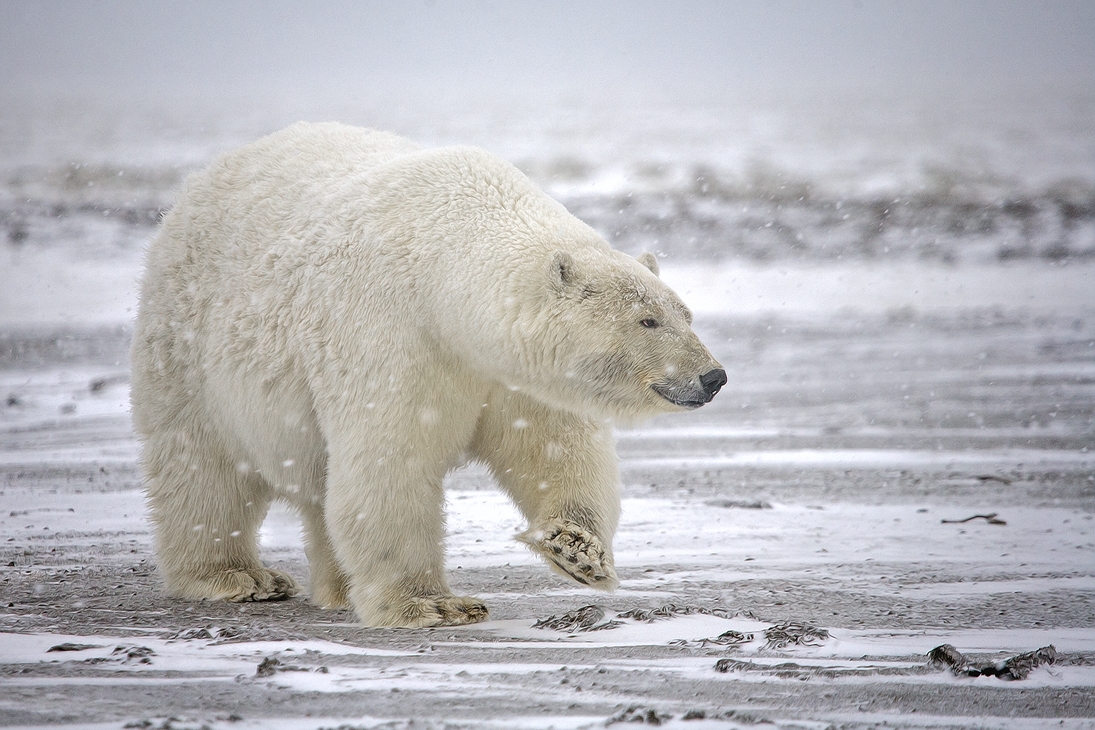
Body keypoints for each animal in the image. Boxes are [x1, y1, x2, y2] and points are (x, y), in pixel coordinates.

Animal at [130, 122, 727, 626]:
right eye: (647, 319)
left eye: (685, 313)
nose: (713, 377)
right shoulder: (392, 334)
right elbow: (390, 460)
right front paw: (434, 604)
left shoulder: (509, 371)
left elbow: (555, 445)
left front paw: (577, 550)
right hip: (187, 345)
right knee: (203, 467)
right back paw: (238, 576)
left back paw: (338, 588)